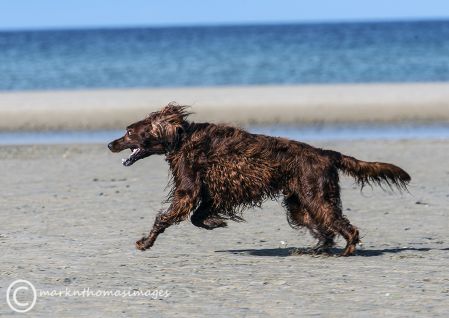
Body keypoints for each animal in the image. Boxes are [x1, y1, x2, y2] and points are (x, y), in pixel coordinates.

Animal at [108, 103, 410, 256]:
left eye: (129, 132)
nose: (110, 144)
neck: (181, 137)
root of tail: (325, 153)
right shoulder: (210, 192)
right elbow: (198, 215)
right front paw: (215, 222)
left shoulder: (188, 191)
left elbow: (167, 217)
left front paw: (145, 242)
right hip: (301, 203)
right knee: (323, 227)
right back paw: (319, 248)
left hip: (316, 196)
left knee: (344, 226)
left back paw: (347, 250)